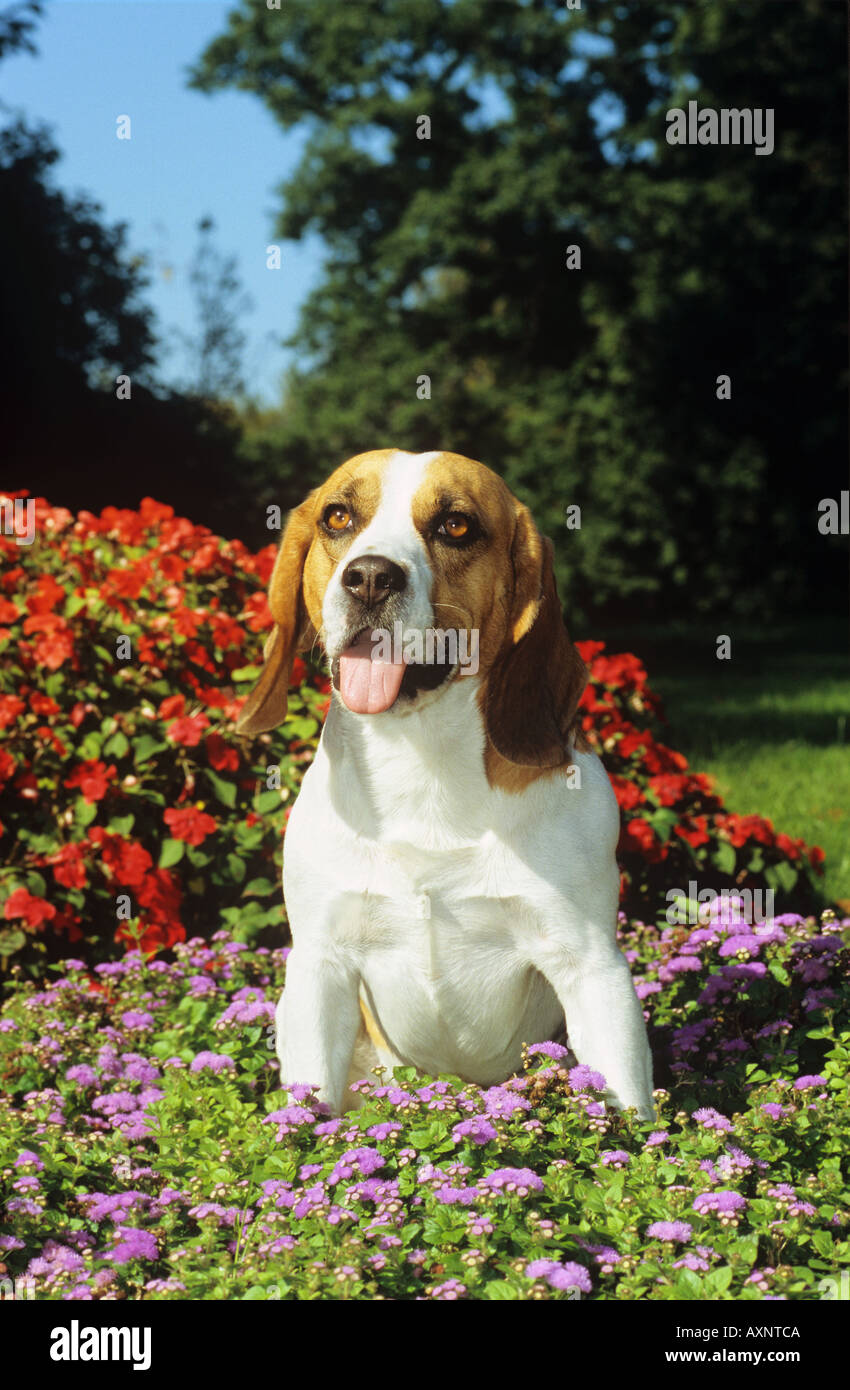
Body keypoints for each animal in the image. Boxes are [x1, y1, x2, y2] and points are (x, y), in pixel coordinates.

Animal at [236, 450, 652, 1123]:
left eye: (456, 526)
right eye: (338, 516)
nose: (369, 578)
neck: (421, 762)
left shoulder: (592, 966)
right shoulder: (320, 965)